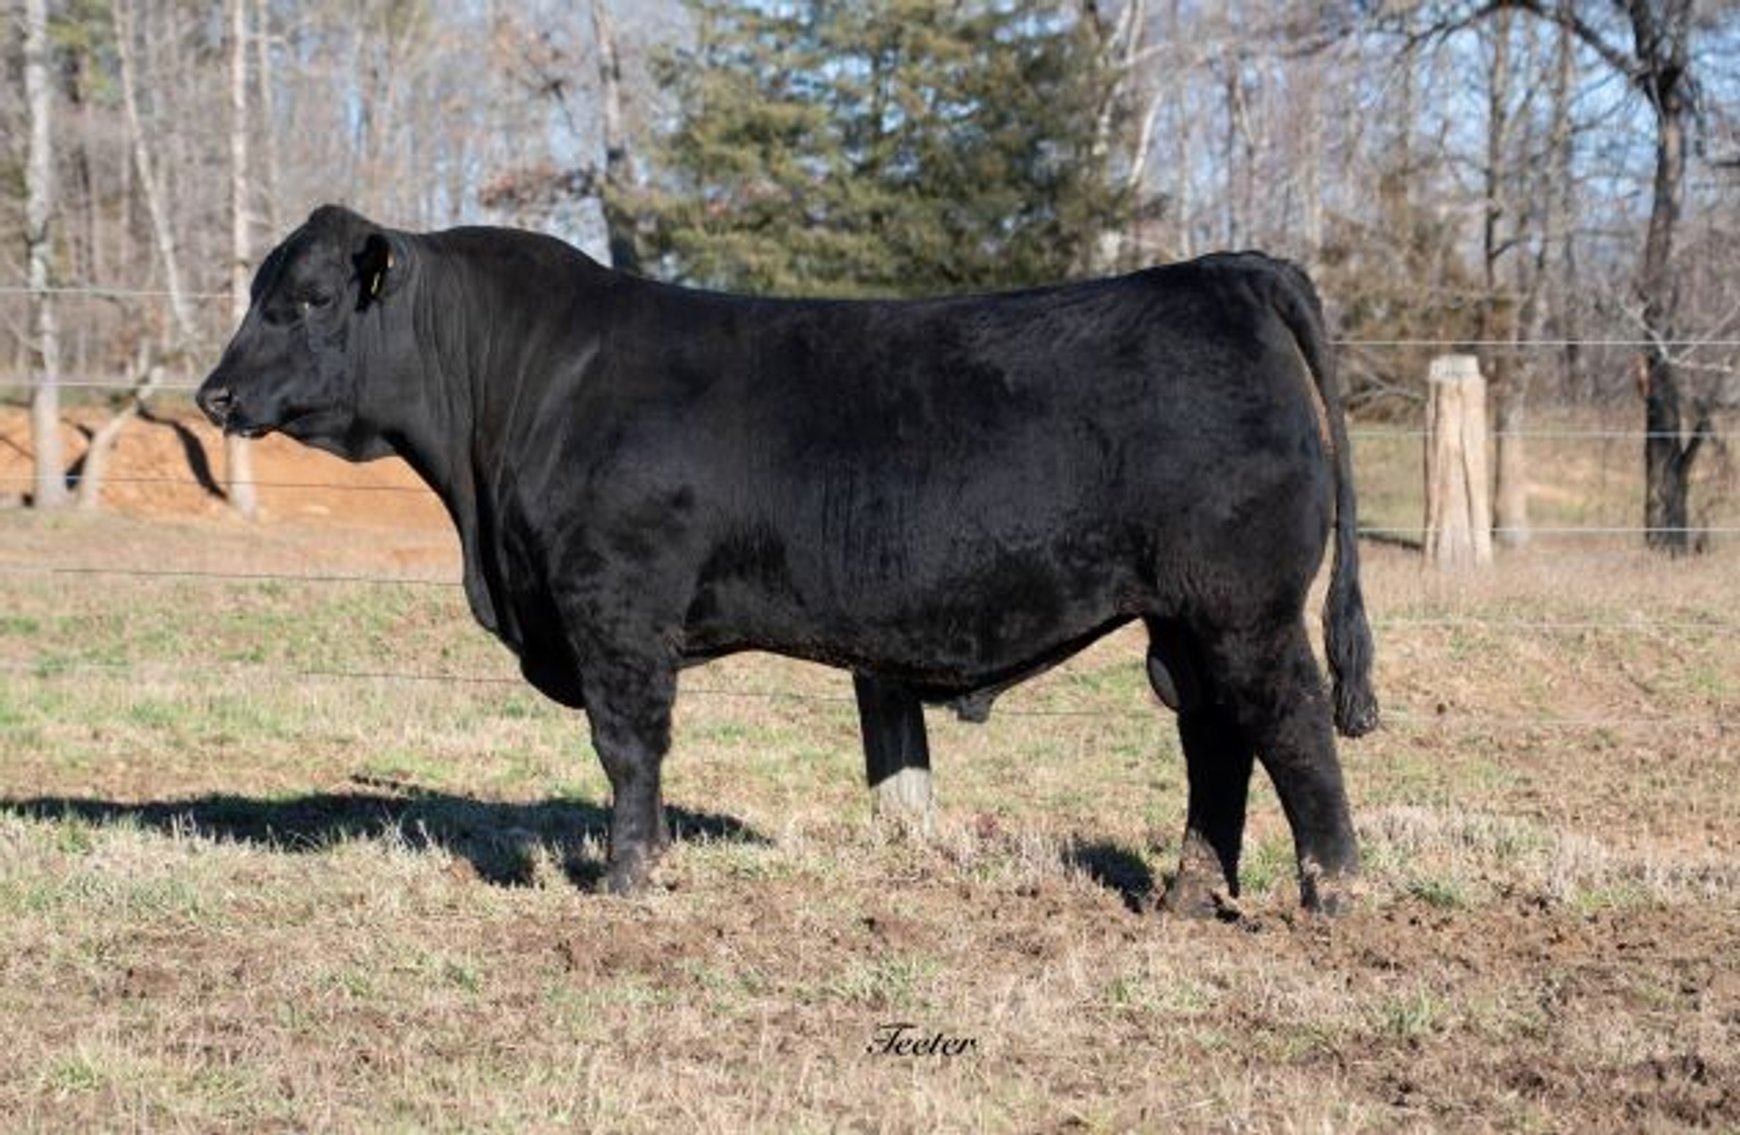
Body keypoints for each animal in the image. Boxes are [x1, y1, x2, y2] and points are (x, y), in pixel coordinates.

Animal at [198, 205, 1378, 914]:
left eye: (306, 300)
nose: (214, 393)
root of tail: (1224, 272)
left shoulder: (614, 603)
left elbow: (626, 746)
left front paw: (628, 878)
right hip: (1185, 616)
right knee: (1216, 740)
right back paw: (1188, 896)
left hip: (1244, 607)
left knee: (1291, 726)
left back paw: (1328, 895)